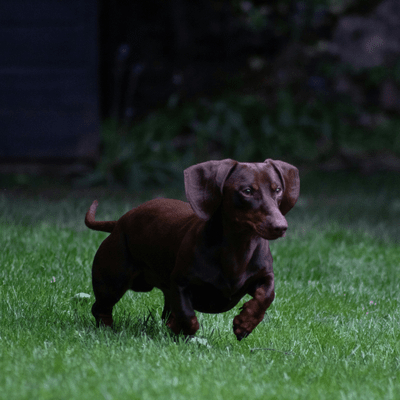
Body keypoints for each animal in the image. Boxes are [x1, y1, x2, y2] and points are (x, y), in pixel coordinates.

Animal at [85, 158, 300, 340]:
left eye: (277, 189)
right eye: (247, 191)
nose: (280, 227)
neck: (237, 249)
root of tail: (120, 222)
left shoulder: (265, 276)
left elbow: (266, 296)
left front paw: (244, 323)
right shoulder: (181, 283)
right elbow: (188, 316)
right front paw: (180, 328)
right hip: (112, 282)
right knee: (100, 308)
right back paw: (107, 330)